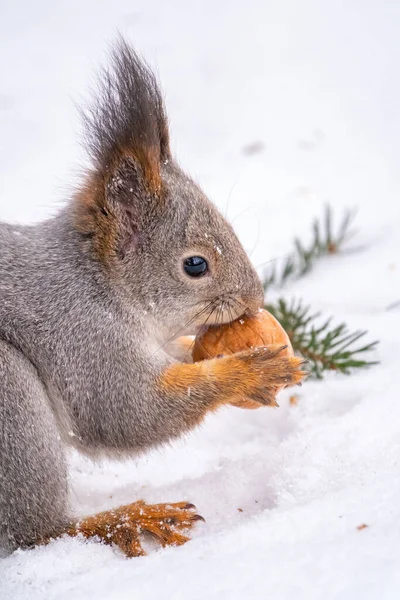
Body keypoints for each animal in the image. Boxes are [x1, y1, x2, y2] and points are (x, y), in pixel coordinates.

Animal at [0, 37, 306, 556]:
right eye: (196, 265)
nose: (254, 300)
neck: (99, 282)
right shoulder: (82, 335)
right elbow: (128, 411)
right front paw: (246, 373)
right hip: (12, 405)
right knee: (37, 533)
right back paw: (122, 519)